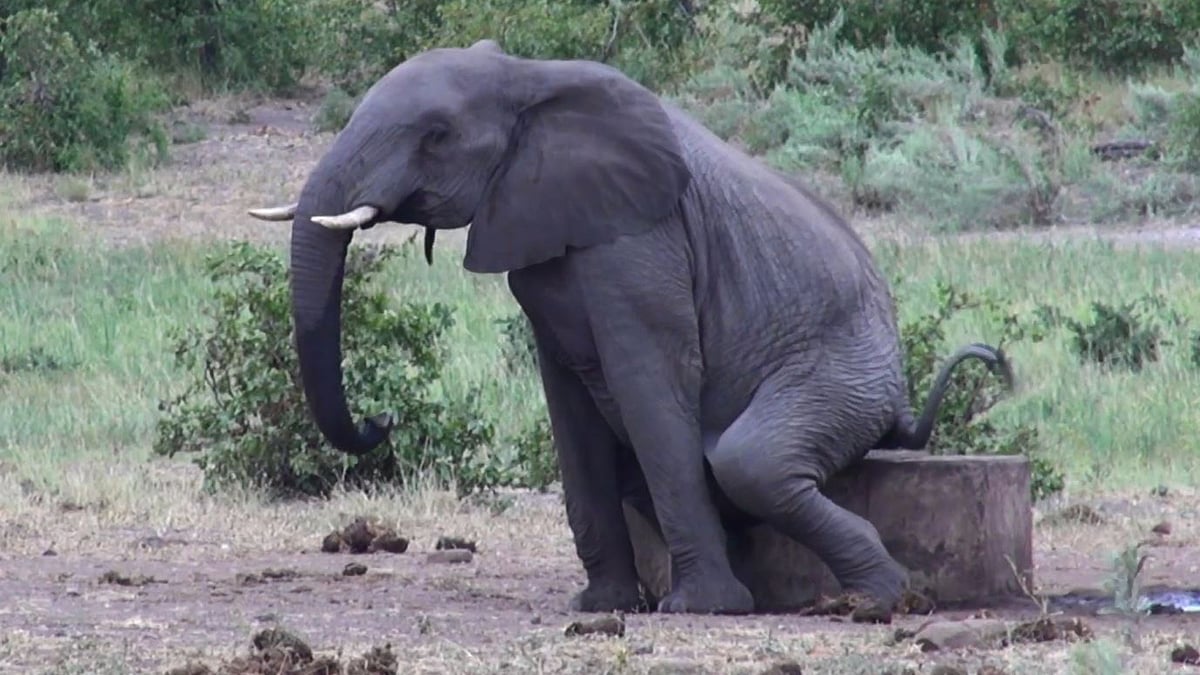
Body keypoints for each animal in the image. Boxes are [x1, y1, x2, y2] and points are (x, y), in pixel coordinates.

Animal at [248, 39, 1013, 616]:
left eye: (436, 137)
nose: (380, 420)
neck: (530, 77)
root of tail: (900, 407)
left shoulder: (640, 242)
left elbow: (650, 380)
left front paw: (701, 608)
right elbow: (570, 405)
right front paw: (603, 605)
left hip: (845, 377)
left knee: (753, 463)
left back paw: (877, 598)